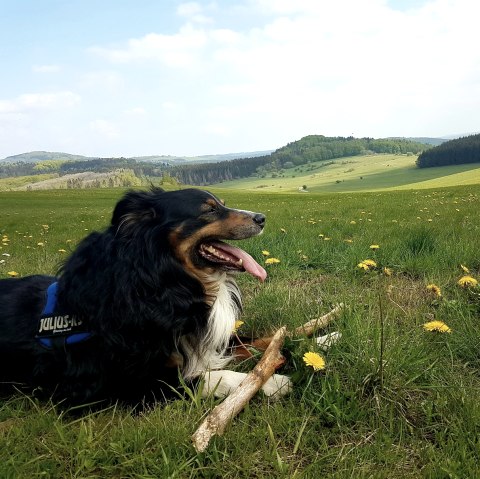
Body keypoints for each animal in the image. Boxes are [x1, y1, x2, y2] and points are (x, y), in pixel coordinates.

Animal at [0, 188, 290, 408]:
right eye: (209, 210)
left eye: (223, 204)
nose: (261, 218)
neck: (162, 282)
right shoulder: (124, 383)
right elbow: (207, 378)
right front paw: (270, 382)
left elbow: (254, 339)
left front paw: (287, 344)